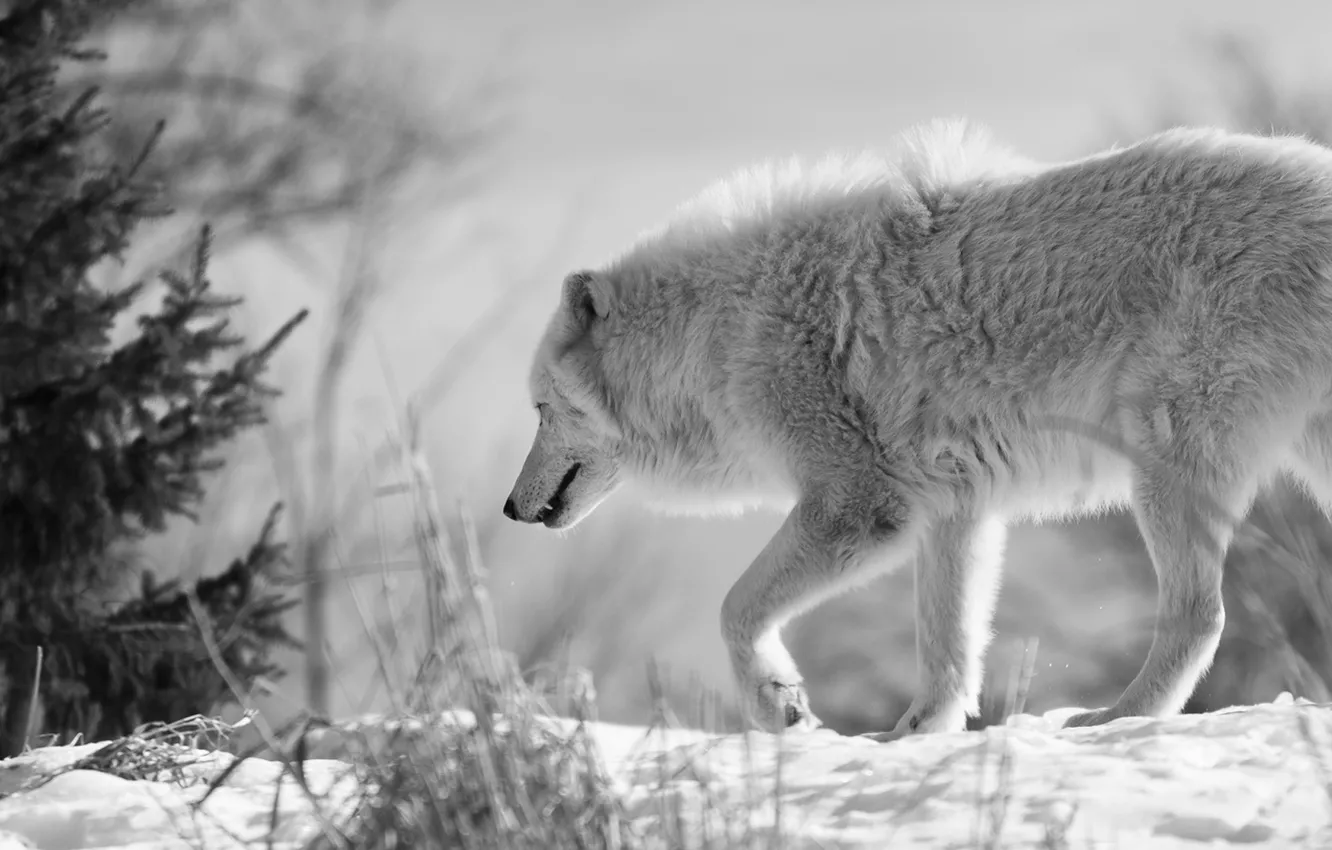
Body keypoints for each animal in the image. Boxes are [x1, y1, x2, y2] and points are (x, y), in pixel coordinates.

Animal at [502, 118, 1332, 740]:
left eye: (539, 410)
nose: (509, 508)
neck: (719, 330)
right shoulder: (957, 508)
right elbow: (949, 646)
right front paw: (908, 736)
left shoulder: (860, 506)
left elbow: (736, 606)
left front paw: (779, 704)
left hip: (1161, 466)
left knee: (1199, 615)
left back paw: (1113, 718)